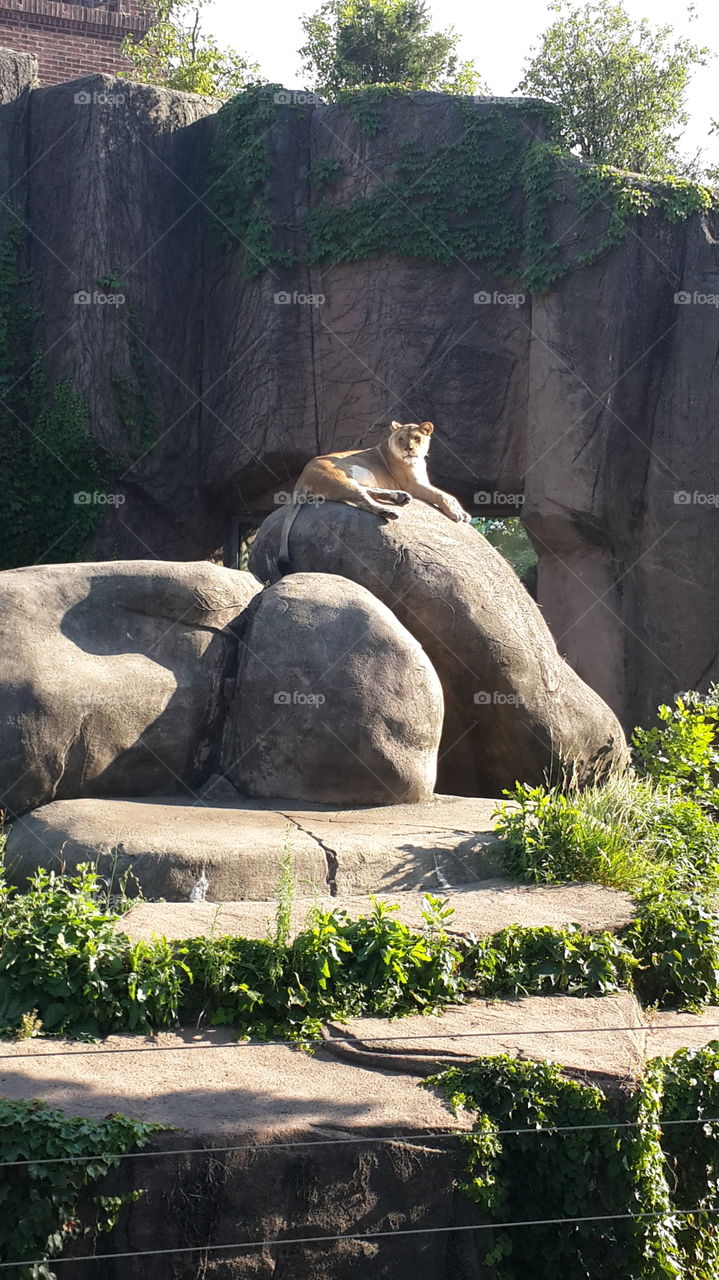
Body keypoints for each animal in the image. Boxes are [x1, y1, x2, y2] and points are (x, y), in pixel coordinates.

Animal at [277, 420, 471, 572]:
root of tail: (302, 476)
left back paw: (400, 497)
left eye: (417, 438)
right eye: (401, 439)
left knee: (367, 492)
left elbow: (449, 495)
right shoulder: (413, 484)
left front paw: (464, 513)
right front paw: (456, 514)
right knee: (363, 500)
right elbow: (442, 495)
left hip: (353, 479)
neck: (416, 462)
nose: (408, 449)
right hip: (342, 477)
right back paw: (389, 511)